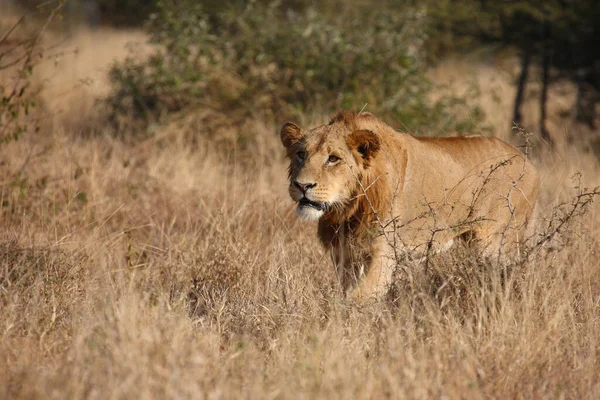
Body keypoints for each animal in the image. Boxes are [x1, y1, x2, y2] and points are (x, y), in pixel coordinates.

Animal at [280, 111, 540, 298]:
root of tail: (529, 163)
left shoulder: (384, 252)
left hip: (496, 241)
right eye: (301, 154)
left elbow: (359, 298)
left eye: (333, 158)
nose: (302, 185)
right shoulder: (345, 254)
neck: (347, 208)